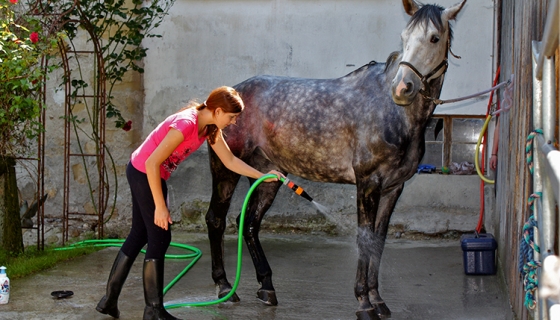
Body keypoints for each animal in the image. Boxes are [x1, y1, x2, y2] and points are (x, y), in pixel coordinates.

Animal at [206, 1, 468, 318]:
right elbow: (364, 239)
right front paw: (364, 303)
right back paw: (223, 286)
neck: (394, 112)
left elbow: (378, 241)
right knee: (216, 220)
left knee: (250, 223)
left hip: (268, 176)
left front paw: (378, 300)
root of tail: (223, 97)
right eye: (404, 37)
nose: (402, 88)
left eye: (434, 38)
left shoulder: (393, 188)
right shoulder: (368, 184)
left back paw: (267, 288)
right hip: (225, 170)